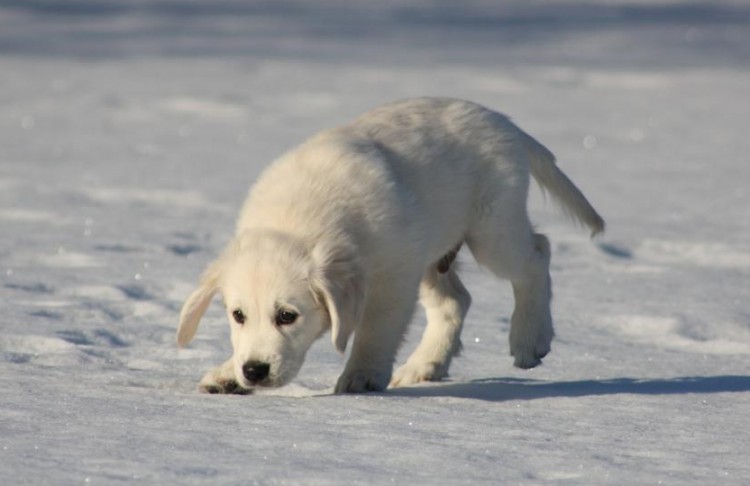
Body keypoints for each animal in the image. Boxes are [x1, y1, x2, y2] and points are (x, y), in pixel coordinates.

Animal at [179, 97, 608, 392]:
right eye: (237, 315)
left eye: (288, 315)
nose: (254, 370)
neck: (300, 221)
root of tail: (501, 120)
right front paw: (227, 374)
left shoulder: (393, 276)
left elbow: (377, 329)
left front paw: (362, 375)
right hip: (432, 252)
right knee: (456, 300)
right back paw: (425, 365)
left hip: (492, 230)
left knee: (538, 253)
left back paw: (529, 339)